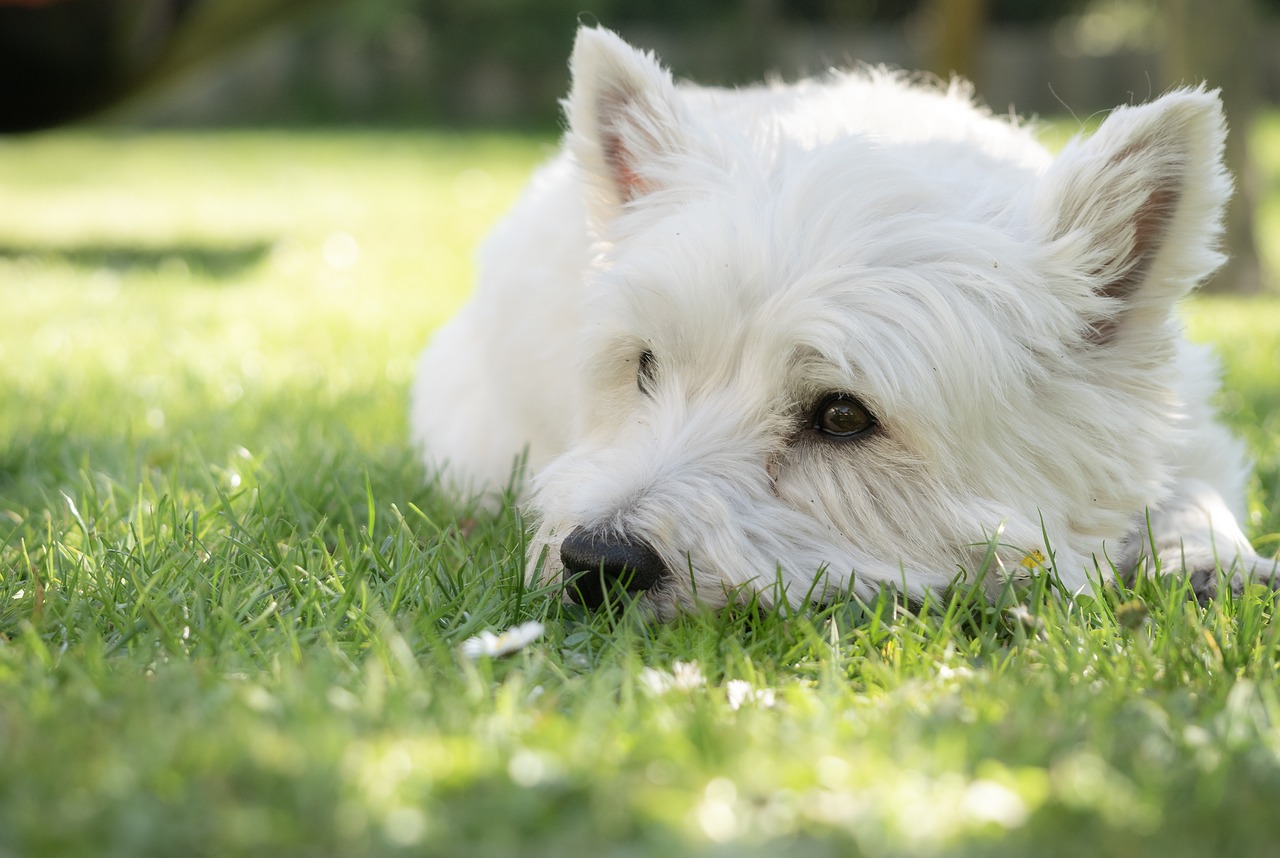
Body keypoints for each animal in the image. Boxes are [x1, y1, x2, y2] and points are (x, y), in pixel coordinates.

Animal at [414, 26, 1274, 619]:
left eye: (841, 415)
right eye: (646, 366)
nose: (597, 561)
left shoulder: (1185, 428)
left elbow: (1191, 488)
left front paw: (1211, 558)